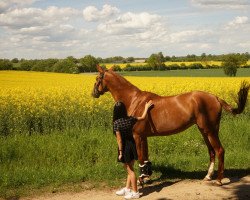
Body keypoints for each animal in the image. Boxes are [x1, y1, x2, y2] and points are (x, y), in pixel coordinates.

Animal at [92, 66, 250, 186]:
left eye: (97, 78)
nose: (94, 93)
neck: (134, 100)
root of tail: (216, 97)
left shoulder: (137, 136)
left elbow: (141, 158)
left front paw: (141, 180)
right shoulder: (144, 137)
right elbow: (146, 157)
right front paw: (147, 177)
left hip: (209, 130)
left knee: (219, 150)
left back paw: (218, 180)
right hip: (205, 131)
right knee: (211, 151)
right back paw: (208, 176)